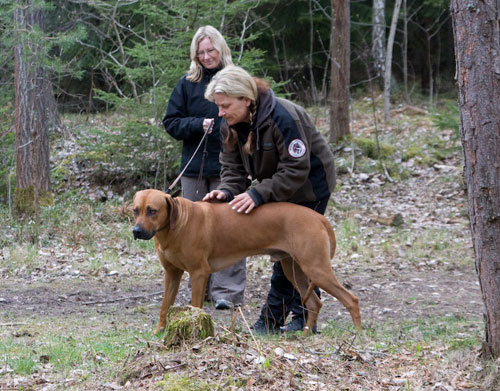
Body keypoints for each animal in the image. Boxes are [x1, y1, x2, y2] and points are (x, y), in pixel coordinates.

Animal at [132, 190, 360, 334]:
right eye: (135, 210)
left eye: (152, 210)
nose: (136, 231)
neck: (176, 225)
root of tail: (318, 217)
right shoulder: (171, 274)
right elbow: (165, 305)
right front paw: (160, 330)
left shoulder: (199, 273)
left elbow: (196, 306)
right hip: (294, 270)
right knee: (315, 303)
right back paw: (304, 334)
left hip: (316, 269)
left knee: (351, 299)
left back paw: (357, 335)